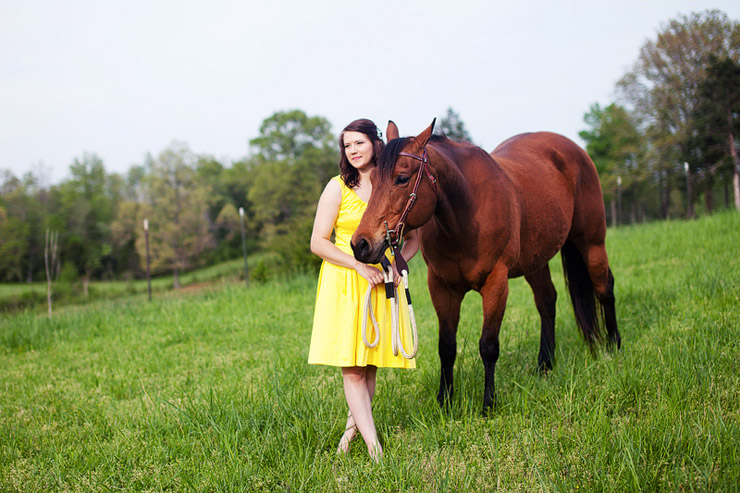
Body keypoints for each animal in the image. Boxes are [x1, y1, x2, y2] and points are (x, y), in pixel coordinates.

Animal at [352, 119, 620, 412]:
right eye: (372, 180)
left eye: (401, 178)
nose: (361, 244)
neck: (465, 216)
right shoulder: (441, 288)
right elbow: (446, 346)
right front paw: (445, 401)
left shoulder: (496, 283)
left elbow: (488, 346)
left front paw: (488, 404)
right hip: (536, 261)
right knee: (547, 302)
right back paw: (545, 366)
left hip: (592, 242)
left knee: (604, 288)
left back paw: (614, 348)